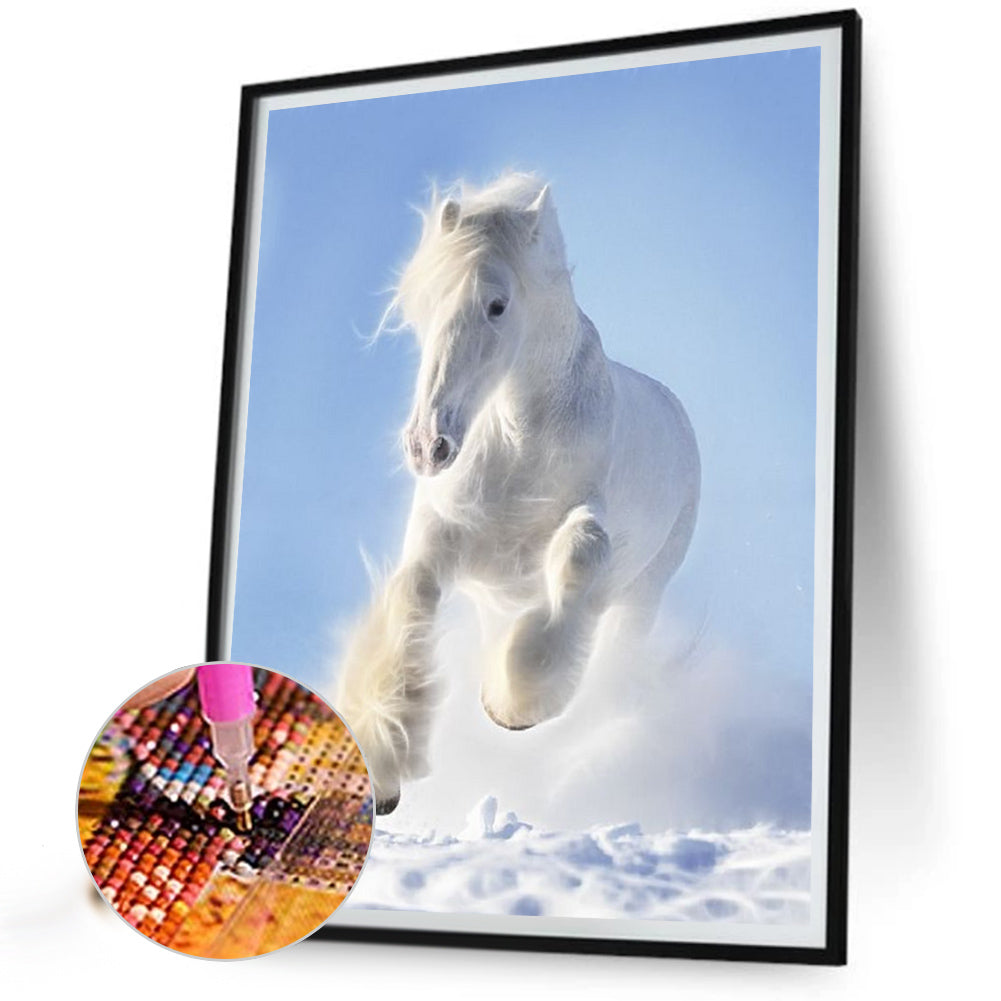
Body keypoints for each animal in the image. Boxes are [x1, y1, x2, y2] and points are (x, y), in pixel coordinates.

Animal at [335, 173, 700, 814]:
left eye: (497, 305)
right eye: (424, 306)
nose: (428, 445)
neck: (515, 445)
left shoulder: (583, 524)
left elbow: (580, 554)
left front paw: (515, 706)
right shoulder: (440, 539)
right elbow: (410, 602)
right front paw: (382, 765)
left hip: (642, 597)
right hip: (494, 598)